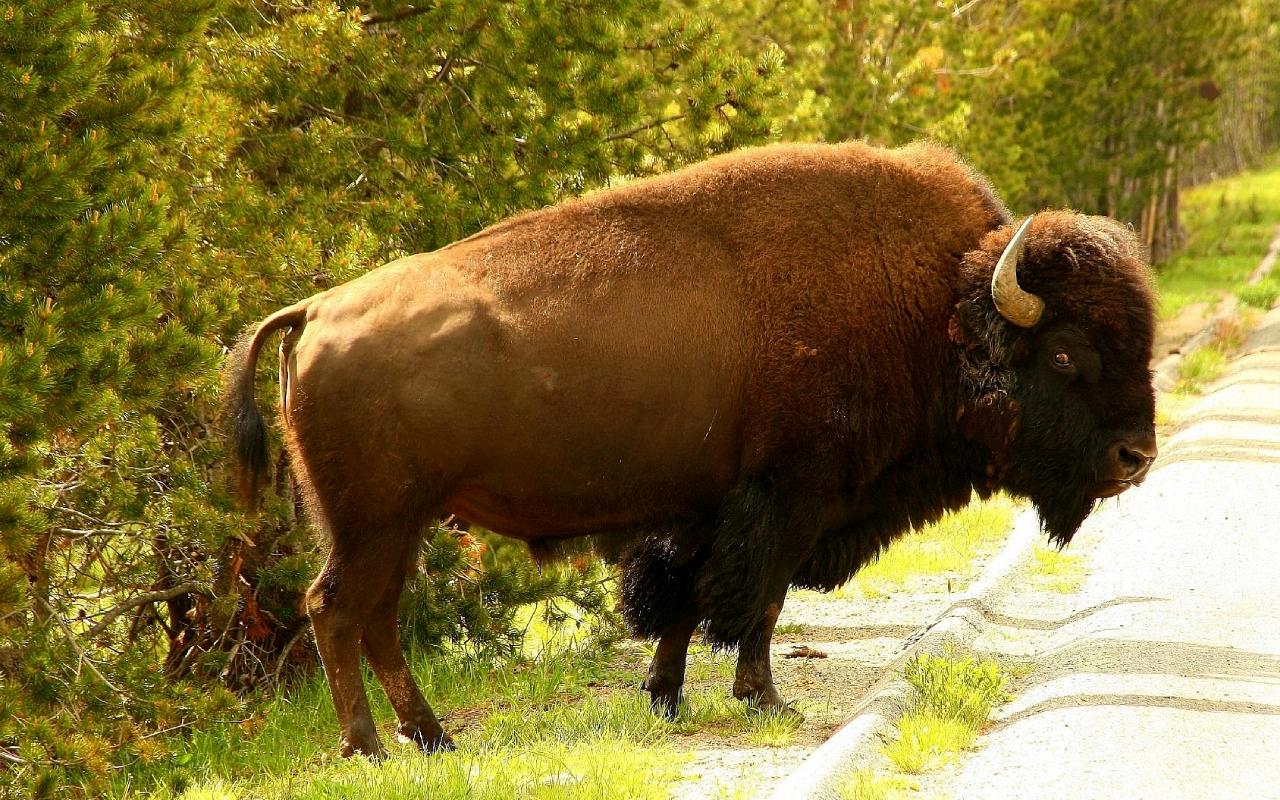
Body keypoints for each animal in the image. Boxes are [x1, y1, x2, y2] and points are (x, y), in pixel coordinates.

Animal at [225, 141, 1157, 758]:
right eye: (1067, 353)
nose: (1135, 458)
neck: (938, 308)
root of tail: (313, 310)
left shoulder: (703, 509)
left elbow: (681, 601)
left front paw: (665, 698)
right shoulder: (789, 499)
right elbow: (758, 603)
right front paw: (764, 701)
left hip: (399, 524)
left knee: (373, 619)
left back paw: (431, 738)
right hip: (375, 523)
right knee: (336, 610)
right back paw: (371, 746)